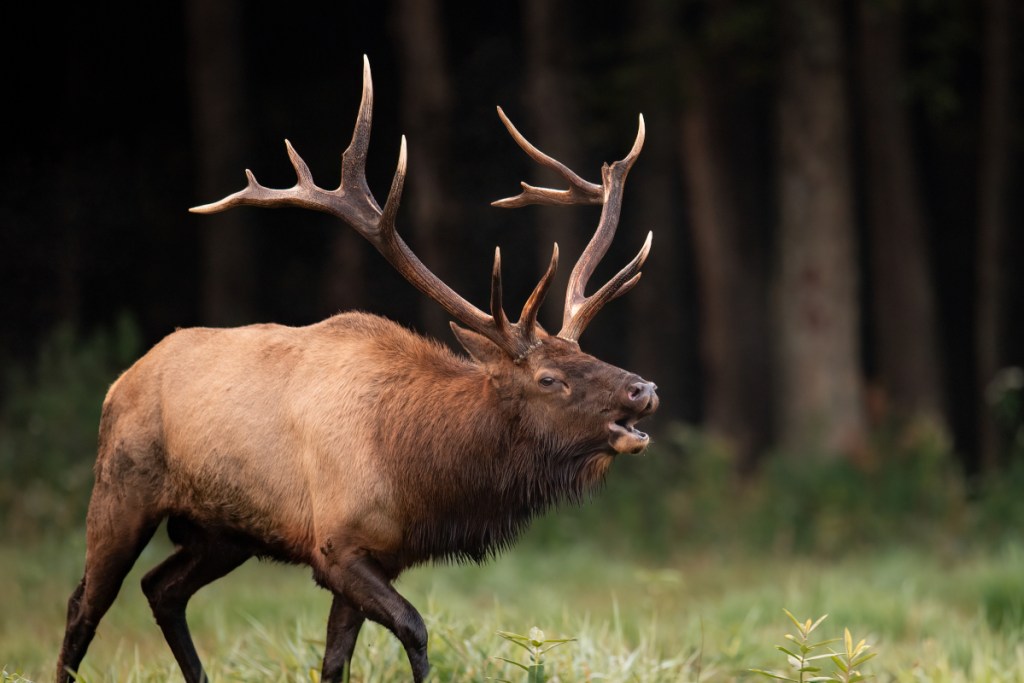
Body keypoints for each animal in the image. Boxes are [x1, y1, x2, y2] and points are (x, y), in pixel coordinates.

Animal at [56, 58, 659, 683]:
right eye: (548, 379)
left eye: (585, 356)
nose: (643, 389)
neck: (417, 473)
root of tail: (120, 382)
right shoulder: (337, 546)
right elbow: (416, 630)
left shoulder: (377, 557)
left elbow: (335, 660)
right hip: (121, 489)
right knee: (84, 603)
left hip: (223, 532)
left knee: (162, 588)